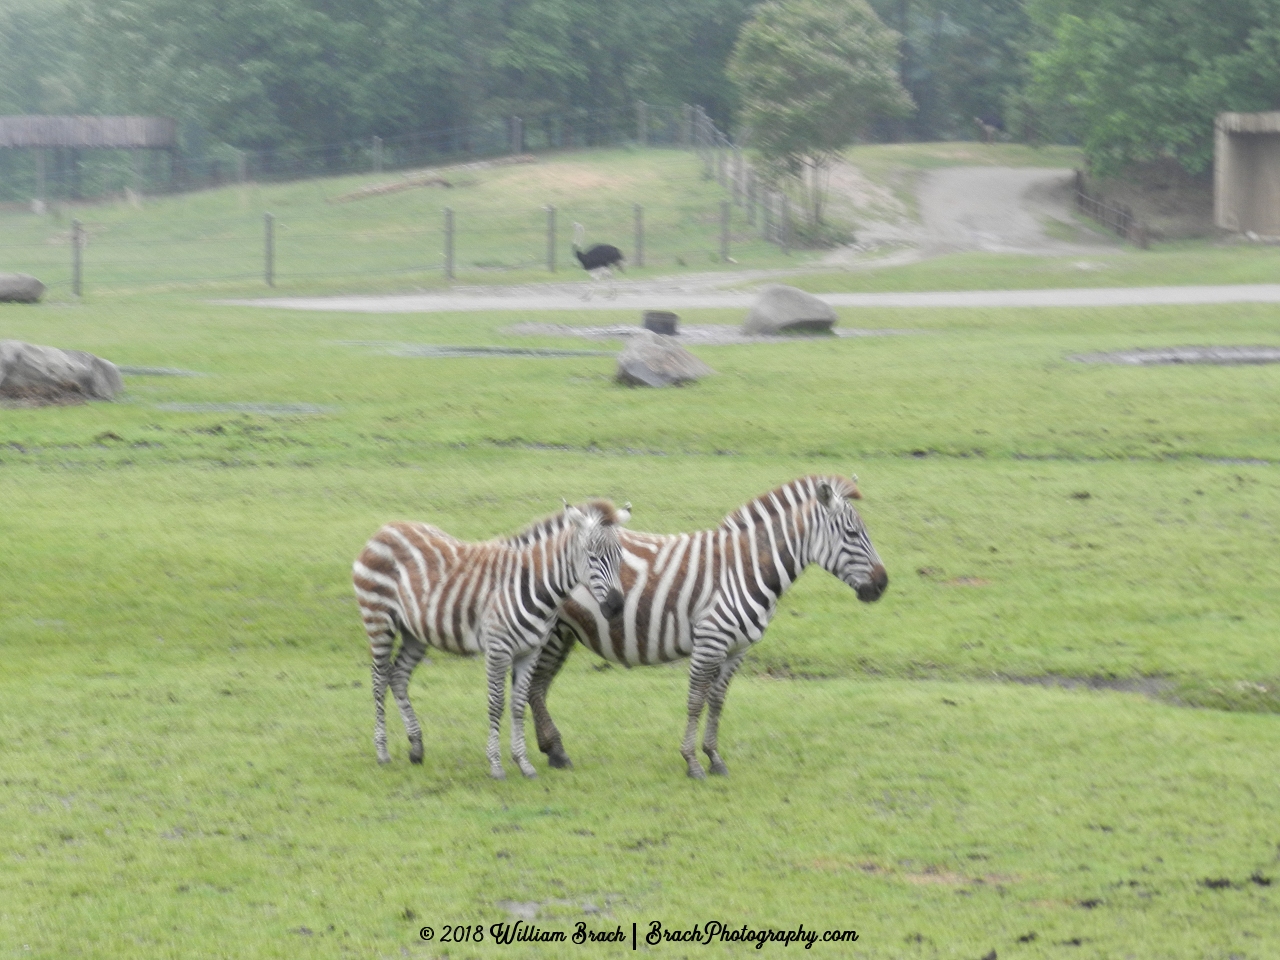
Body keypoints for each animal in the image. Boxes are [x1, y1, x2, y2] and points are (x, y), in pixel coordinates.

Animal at [350, 504, 629, 783]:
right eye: (592, 556)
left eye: (619, 557)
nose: (616, 606)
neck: (532, 585)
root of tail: (387, 528)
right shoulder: (498, 649)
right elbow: (496, 705)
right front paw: (496, 766)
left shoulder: (530, 651)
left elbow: (518, 705)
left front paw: (524, 764)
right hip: (378, 620)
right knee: (378, 680)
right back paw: (382, 752)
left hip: (415, 633)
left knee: (397, 676)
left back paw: (416, 749)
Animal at [524, 476, 885, 783]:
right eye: (853, 533)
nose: (883, 585)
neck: (746, 568)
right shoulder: (710, 640)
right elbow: (696, 701)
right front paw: (692, 762)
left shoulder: (737, 649)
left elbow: (717, 700)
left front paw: (714, 757)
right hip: (552, 632)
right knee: (535, 686)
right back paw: (556, 751)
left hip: (564, 633)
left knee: (539, 686)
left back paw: (553, 750)